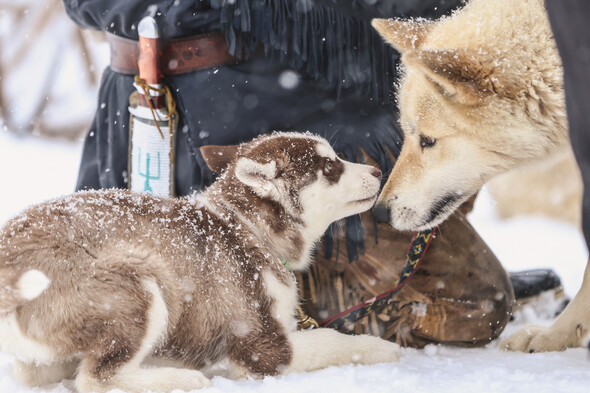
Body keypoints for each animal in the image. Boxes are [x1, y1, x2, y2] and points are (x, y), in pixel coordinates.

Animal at [0, 132, 402, 392]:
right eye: (330, 168)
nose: (378, 171)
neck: (249, 229)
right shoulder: (261, 344)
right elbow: (333, 340)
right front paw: (382, 349)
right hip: (140, 282)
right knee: (95, 379)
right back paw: (179, 380)